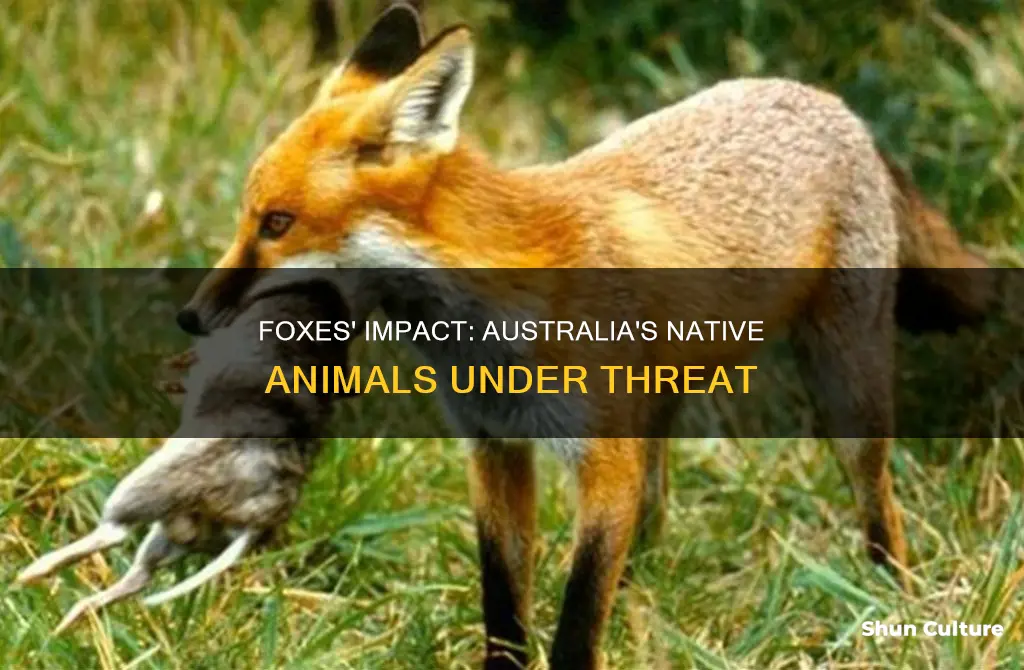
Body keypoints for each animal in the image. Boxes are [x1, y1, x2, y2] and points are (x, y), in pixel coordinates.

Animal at [176, 3, 993, 668]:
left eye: (277, 223)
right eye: (248, 218)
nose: (190, 315)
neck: (492, 317)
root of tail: (830, 103)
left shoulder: (598, 455)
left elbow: (574, 616)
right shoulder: (495, 448)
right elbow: (504, 599)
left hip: (846, 392)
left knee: (878, 504)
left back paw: (892, 597)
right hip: (667, 393)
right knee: (653, 504)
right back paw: (642, 582)